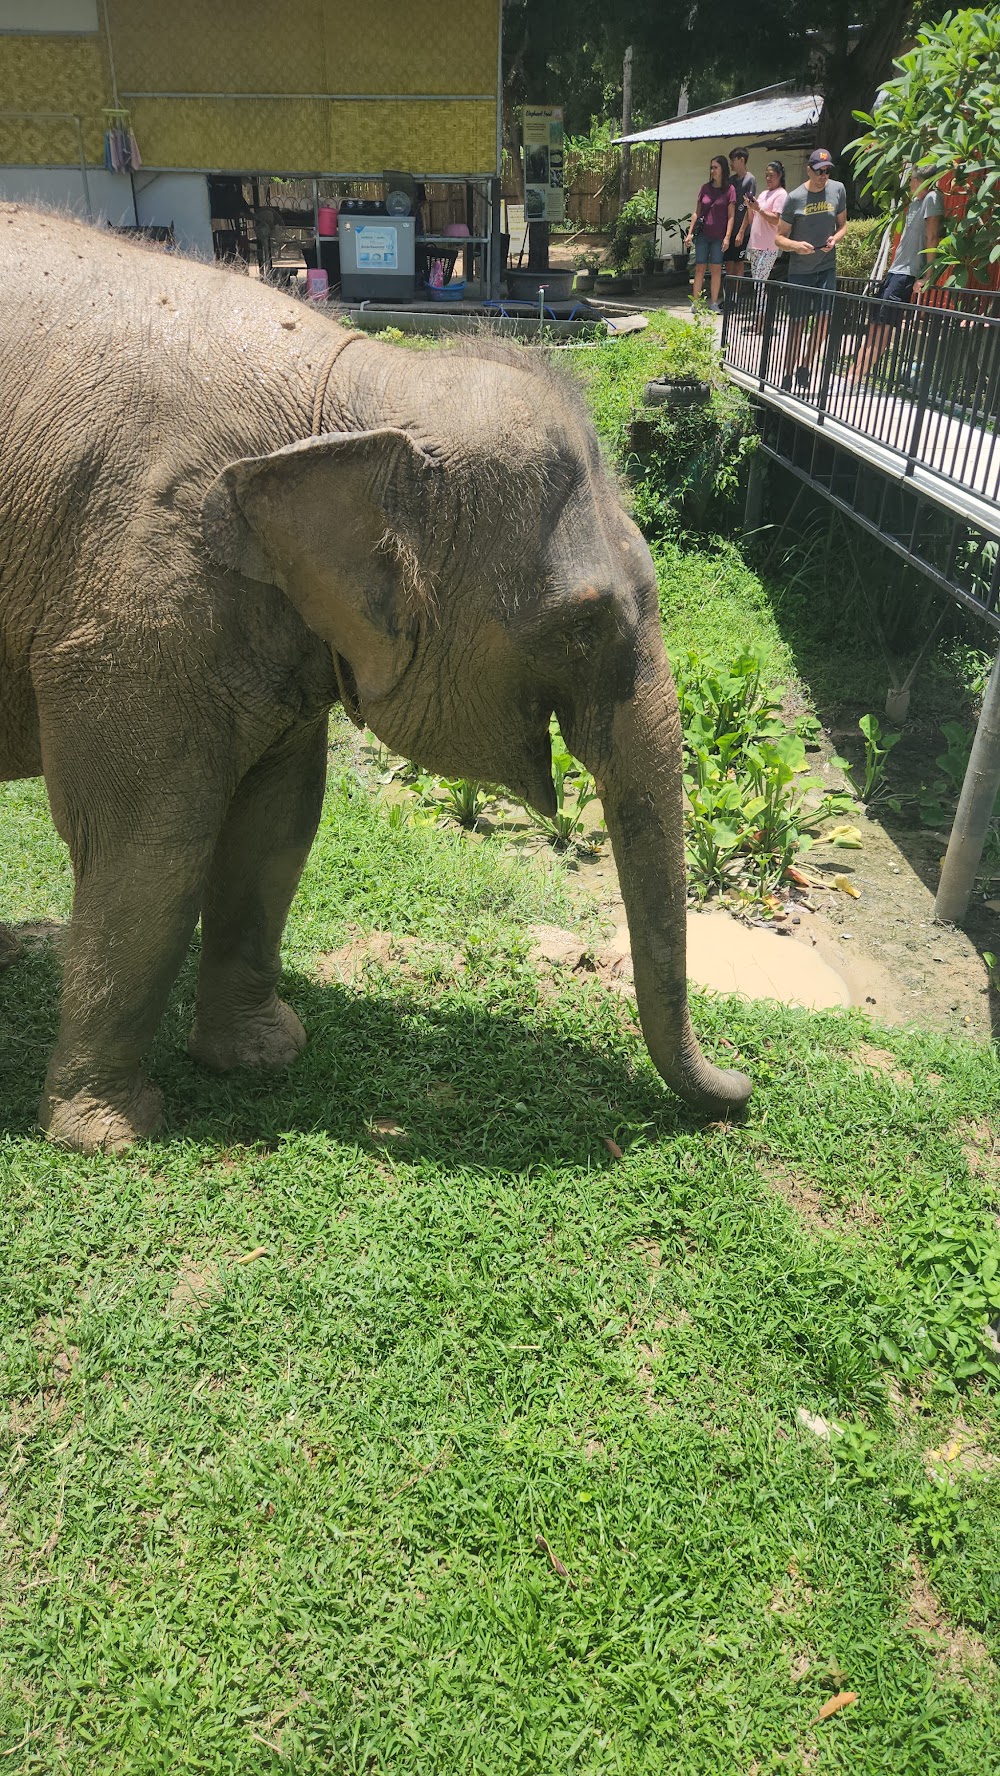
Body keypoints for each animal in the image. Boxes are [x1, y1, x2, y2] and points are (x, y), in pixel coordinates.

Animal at [0, 207, 753, 1150]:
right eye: (583, 624)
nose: (746, 1086)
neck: (354, 391)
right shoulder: (132, 605)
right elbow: (150, 848)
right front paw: (112, 1134)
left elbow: (279, 824)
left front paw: (264, 1057)